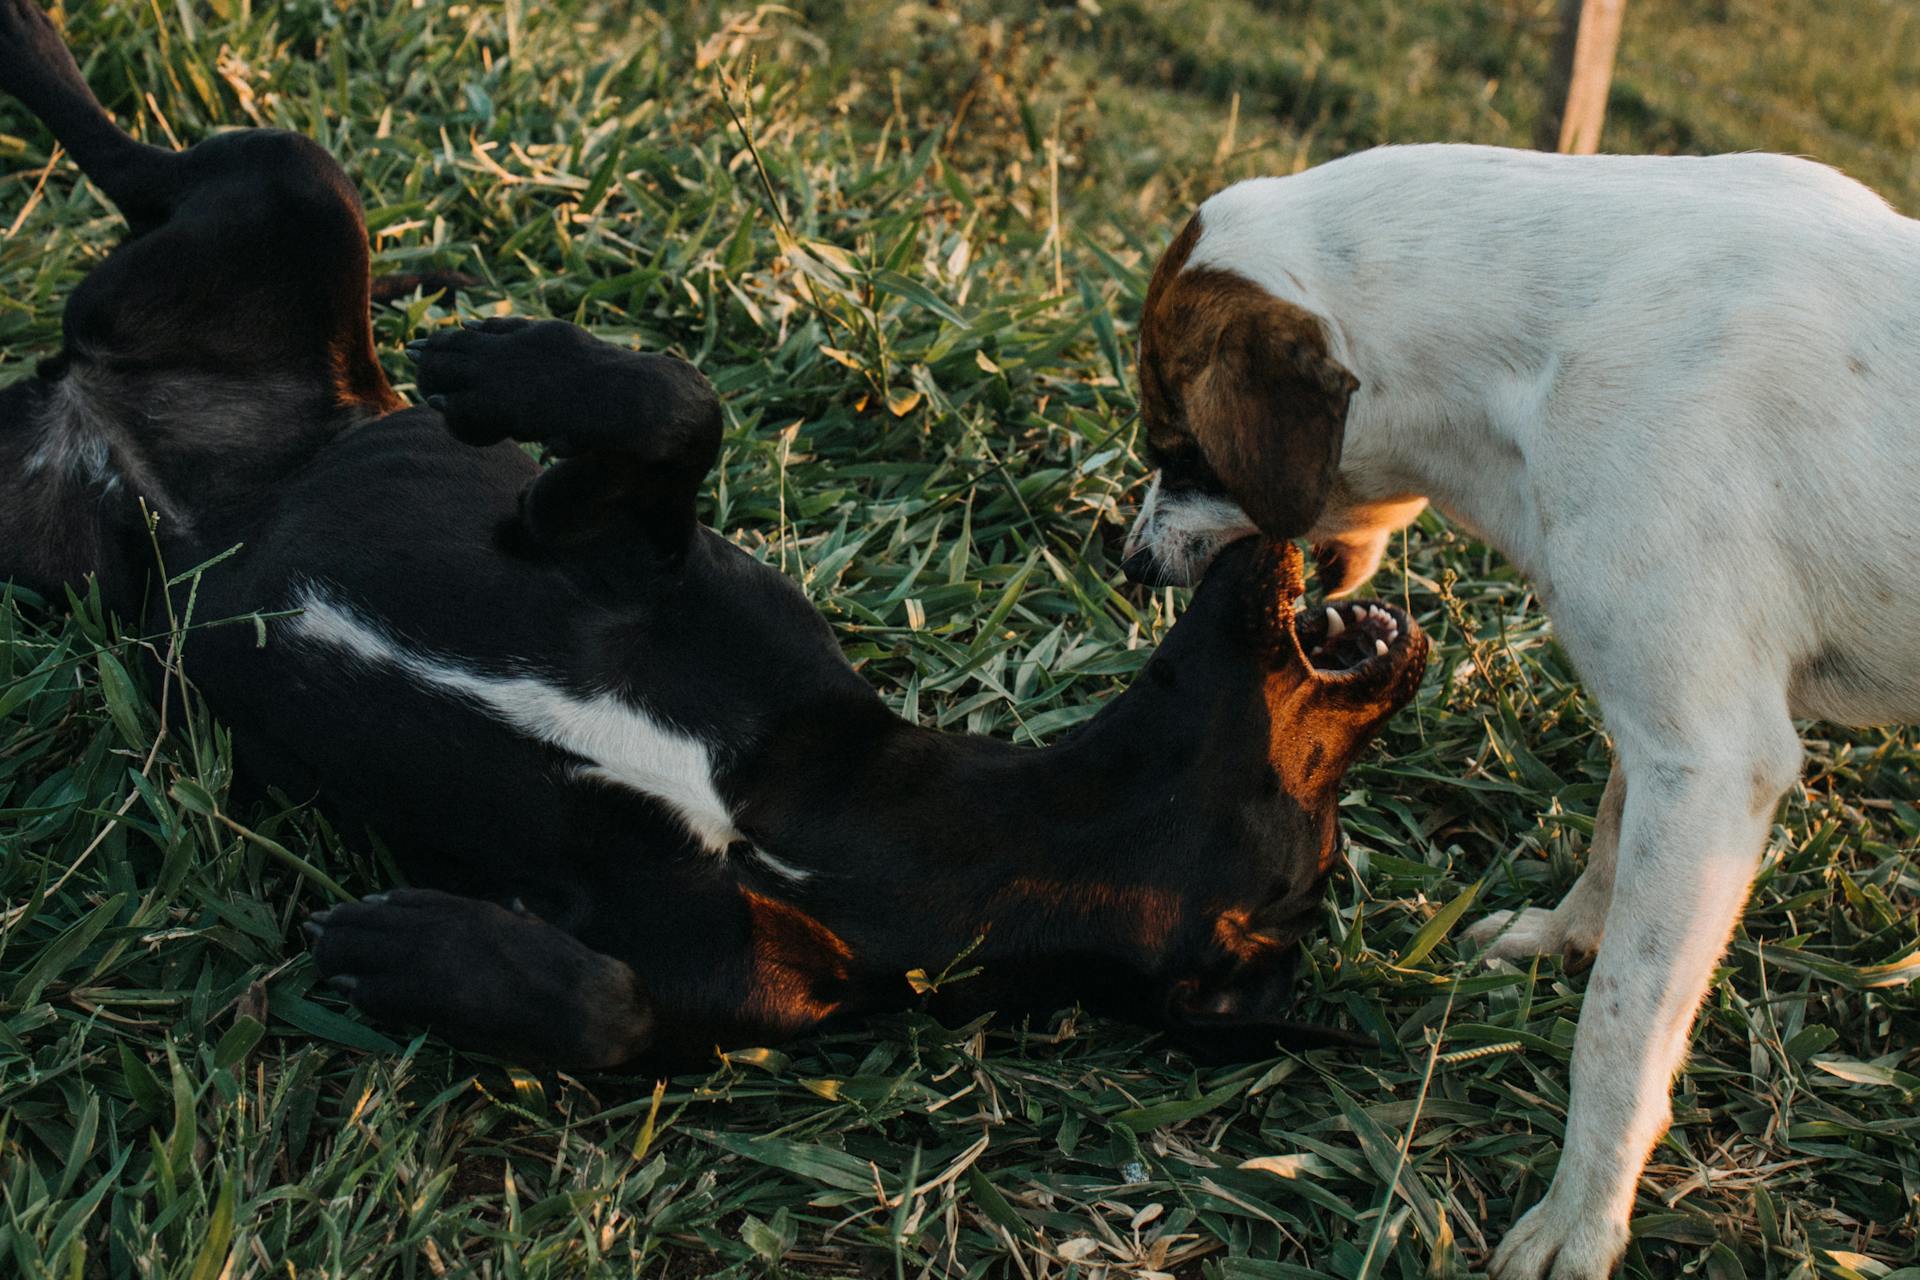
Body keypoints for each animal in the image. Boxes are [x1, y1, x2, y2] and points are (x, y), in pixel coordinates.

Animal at [0, 5, 1428, 1074]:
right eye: (1330, 815)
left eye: (1319, 849)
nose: (1413, 651)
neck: (874, 829)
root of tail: (88, 396)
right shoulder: (635, 551)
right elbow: (682, 405)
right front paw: (510, 365)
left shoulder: (725, 986)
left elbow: (609, 1011)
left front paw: (414, 952)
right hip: (304, 185)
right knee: (119, 143)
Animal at [1121, 140, 1920, 1280]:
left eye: (1178, 449)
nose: (1129, 559)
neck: (1550, 338)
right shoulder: (1659, 719)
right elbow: (1609, 844)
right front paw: (1562, 937)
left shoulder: (1716, 766)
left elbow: (1622, 1021)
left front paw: (1583, 1218)